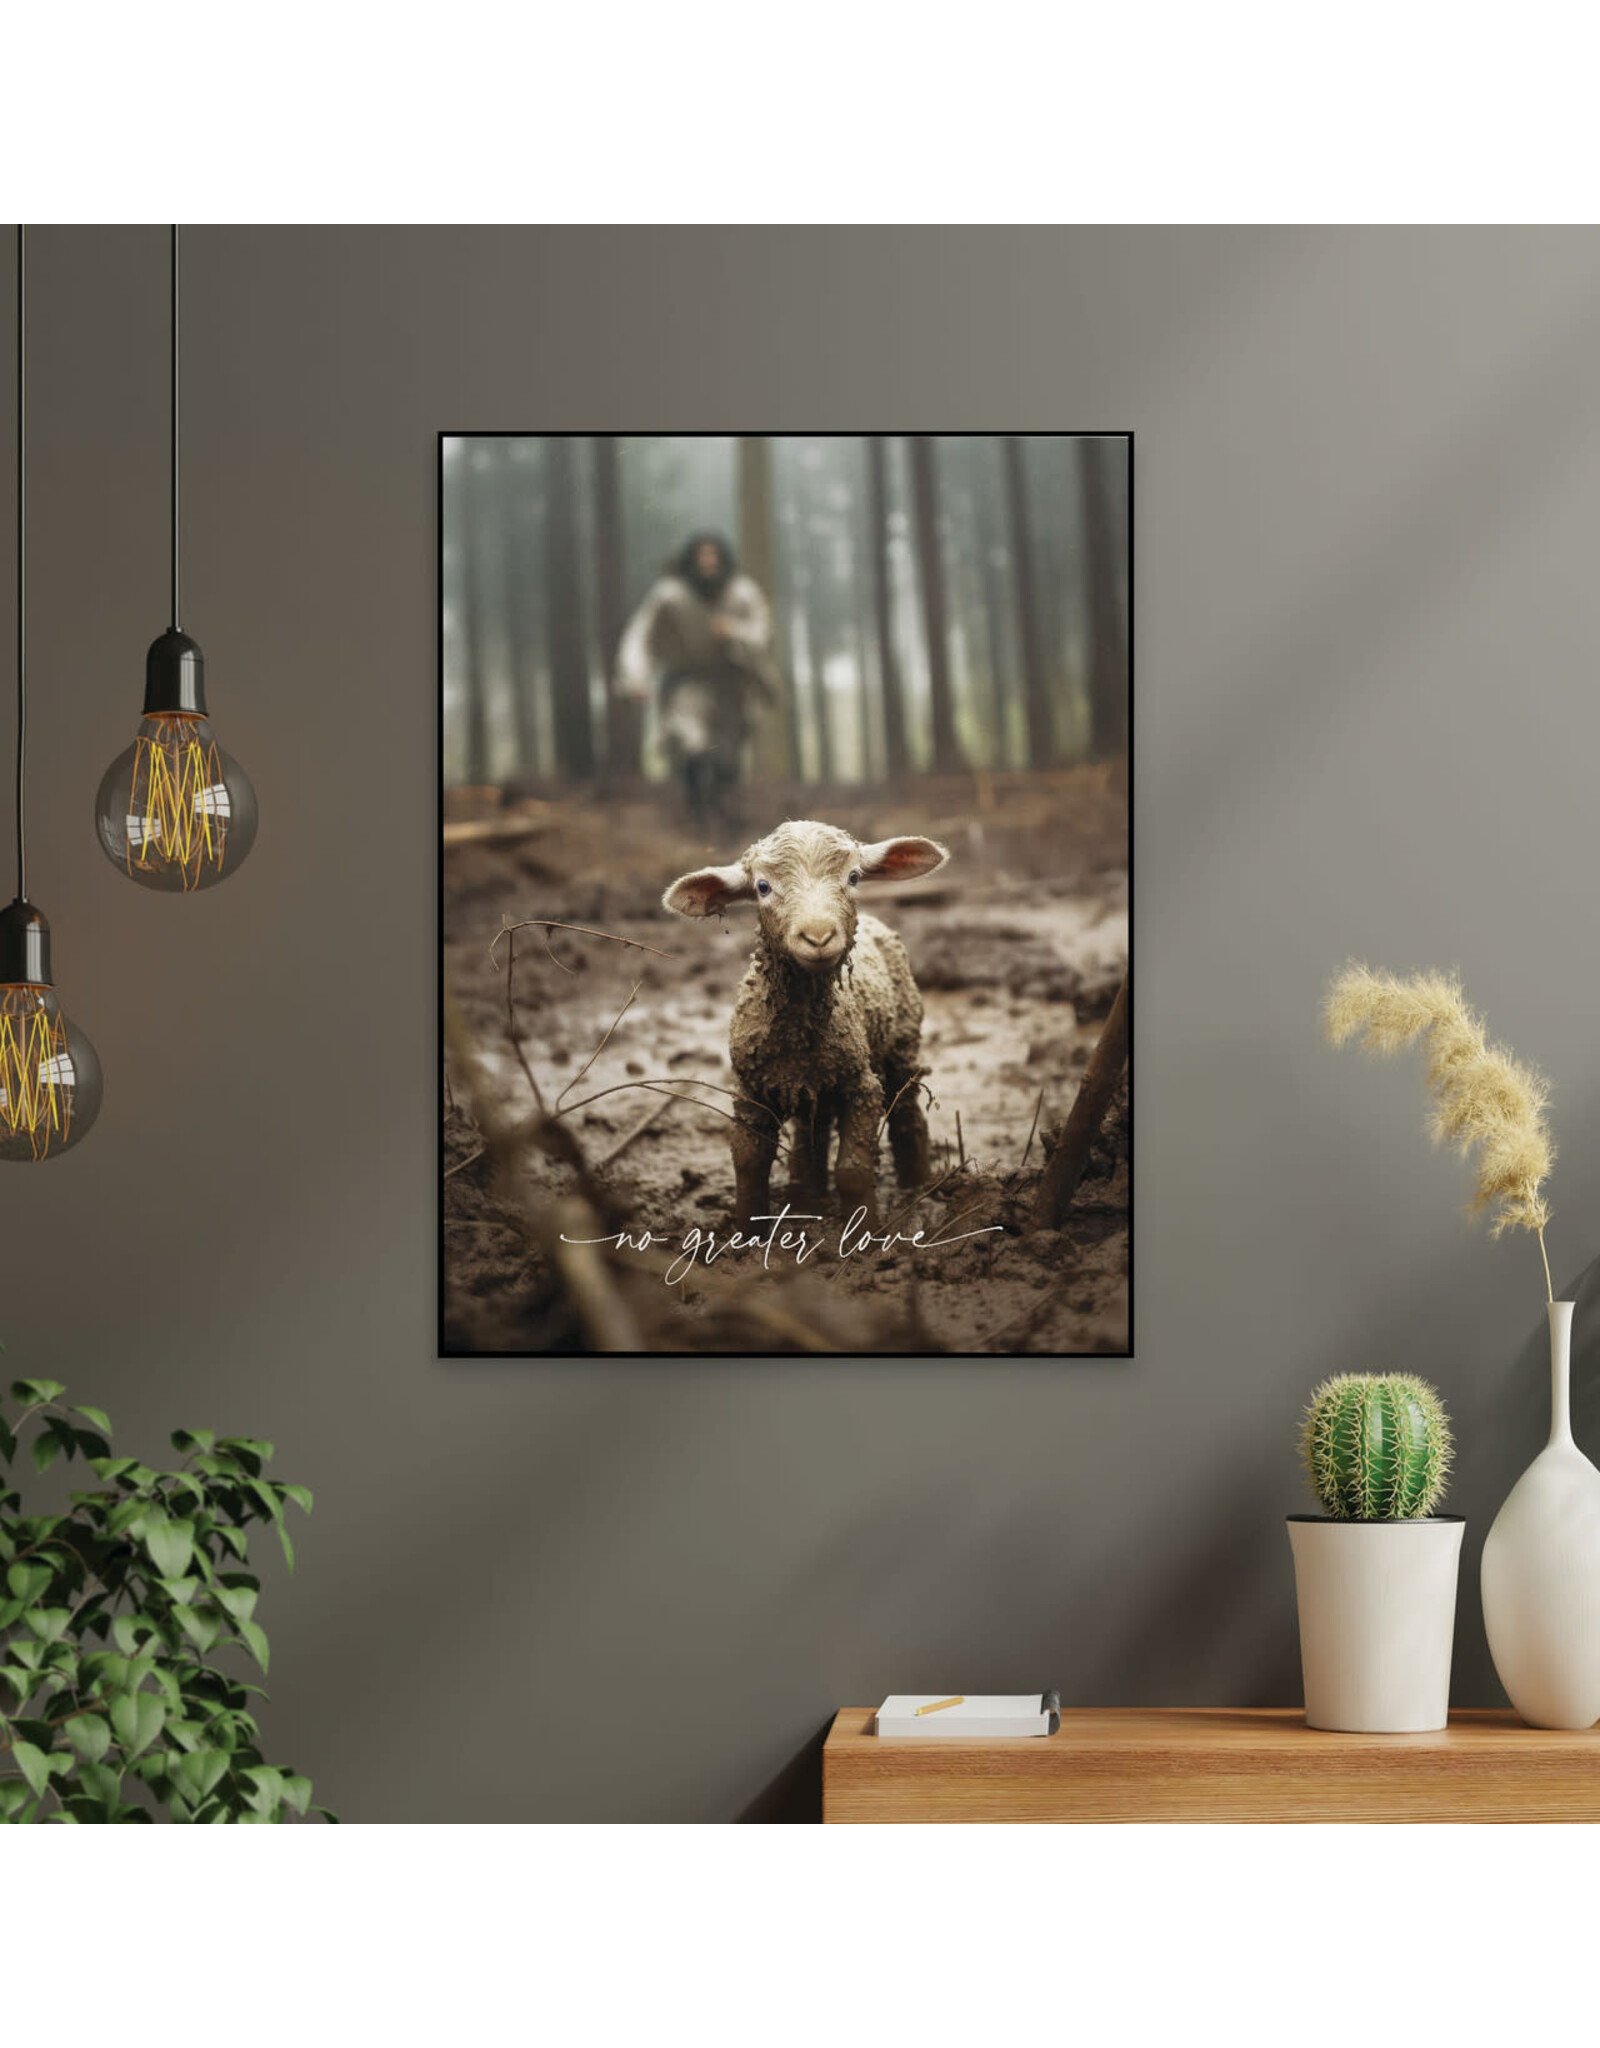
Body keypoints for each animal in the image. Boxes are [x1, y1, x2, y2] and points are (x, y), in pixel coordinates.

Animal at [663, 820, 949, 1227]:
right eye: (762, 887)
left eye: (854, 877)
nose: (818, 936)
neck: (799, 1032)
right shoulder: (750, 1089)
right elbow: (748, 1164)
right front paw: (748, 1231)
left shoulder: (861, 1085)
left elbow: (852, 1170)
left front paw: (866, 1233)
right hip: (815, 1081)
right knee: (812, 1128)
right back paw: (807, 1196)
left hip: (902, 1042)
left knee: (907, 1109)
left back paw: (918, 1187)